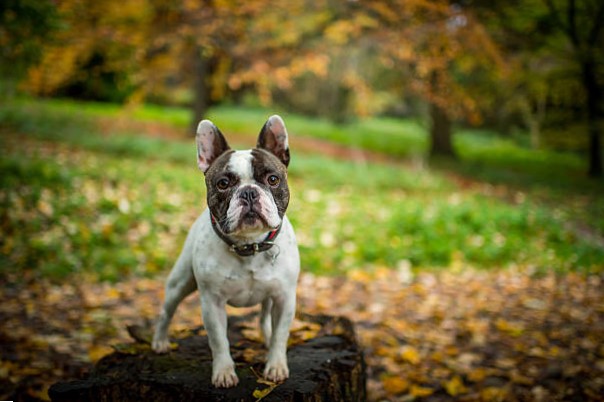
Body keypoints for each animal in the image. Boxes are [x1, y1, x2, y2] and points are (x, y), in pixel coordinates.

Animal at [152, 114, 300, 388]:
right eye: (223, 184)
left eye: (272, 179)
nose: (249, 192)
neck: (249, 245)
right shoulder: (212, 303)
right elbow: (219, 341)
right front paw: (223, 372)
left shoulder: (284, 298)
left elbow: (281, 335)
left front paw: (275, 366)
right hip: (180, 282)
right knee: (167, 311)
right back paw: (159, 341)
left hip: (270, 294)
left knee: (264, 317)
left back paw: (266, 337)